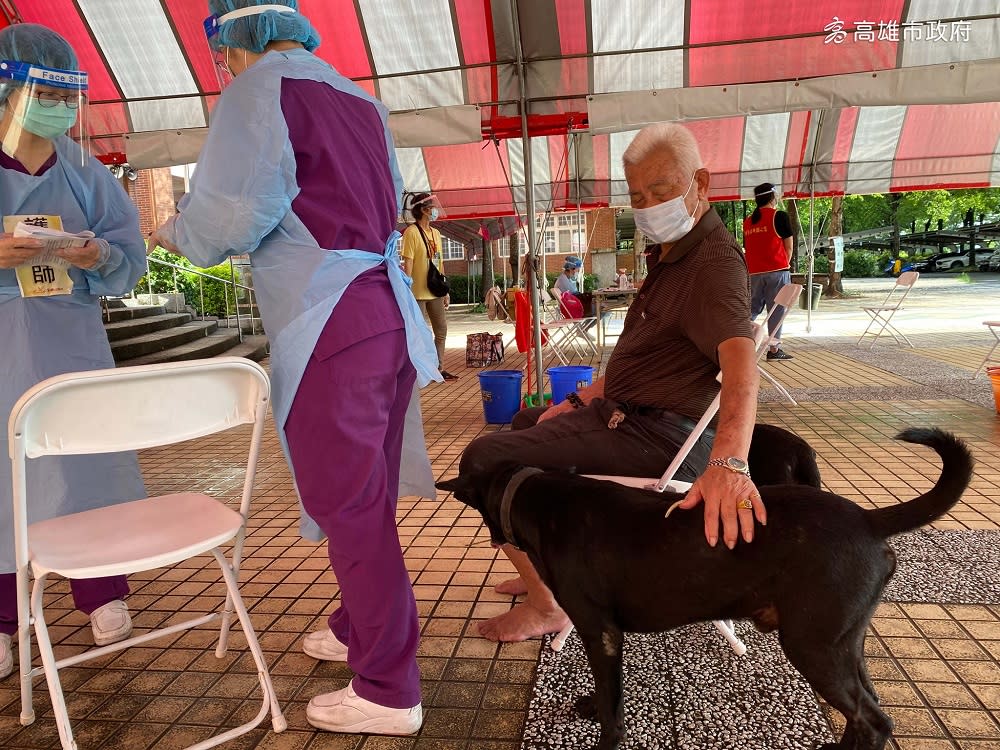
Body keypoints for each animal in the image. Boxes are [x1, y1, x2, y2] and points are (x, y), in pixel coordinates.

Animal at [438, 428, 968, 750]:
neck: (542, 500)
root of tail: (867, 519)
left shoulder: (598, 630)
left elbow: (611, 703)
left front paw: (606, 731)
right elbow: (608, 692)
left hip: (813, 644)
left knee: (874, 720)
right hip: (844, 641)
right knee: (868, 713)